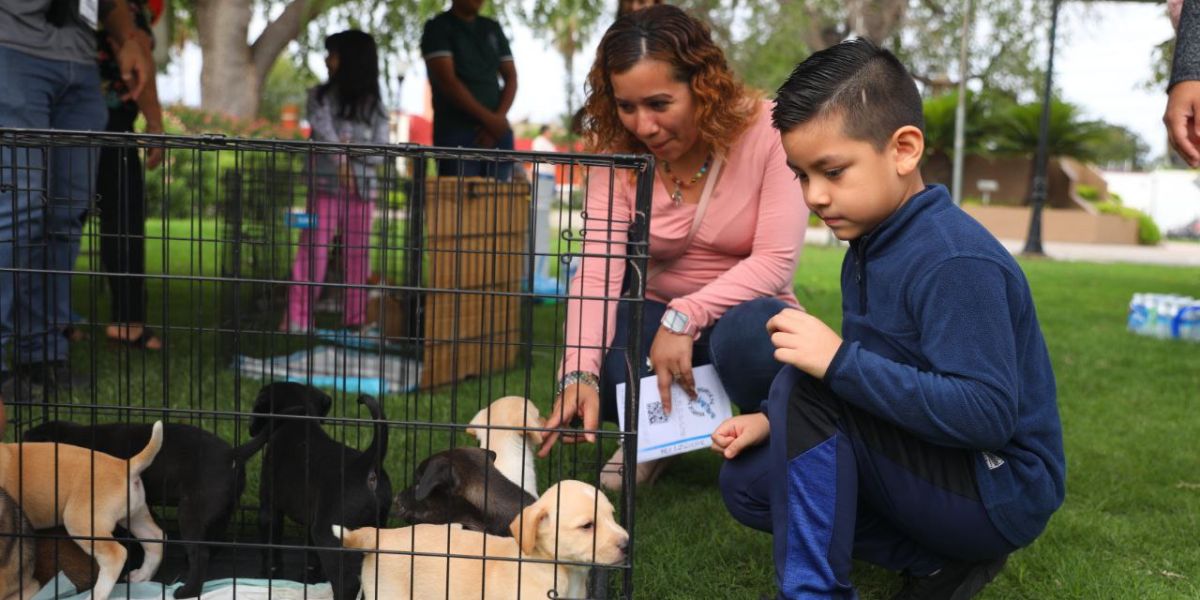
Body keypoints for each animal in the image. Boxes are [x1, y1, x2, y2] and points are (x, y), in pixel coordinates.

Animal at [0, 422, 164, 600]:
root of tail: (124, 466)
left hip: (81, 522)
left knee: (115, 555)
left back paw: (96, 594)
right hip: (134, 515)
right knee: (154, 539)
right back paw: (142, 575)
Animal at [22, 420, 270, 597]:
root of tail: (234, 454)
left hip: (191, 512)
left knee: (200, 553)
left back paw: (186, 591)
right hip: (222, 510)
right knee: (214, 541)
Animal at [252, 381, 391, 600]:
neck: (298, 422)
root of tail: (366, 463)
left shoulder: (269, 506)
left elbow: (271, 544)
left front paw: (270, 573)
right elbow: (311, 555)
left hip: (329, 536)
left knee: (347, 582)